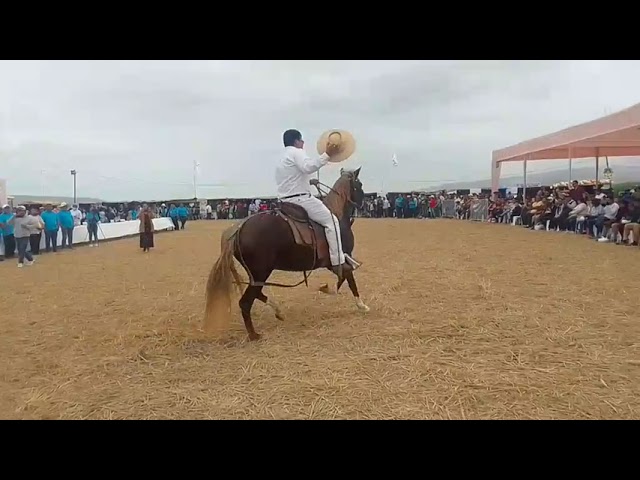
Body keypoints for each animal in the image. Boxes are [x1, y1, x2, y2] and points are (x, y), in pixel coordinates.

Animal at [202, 167, 368, 340]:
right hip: (261, 272)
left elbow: (346, 278)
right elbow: (348, 279)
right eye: (360, 185)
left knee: (257, 294)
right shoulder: (338, 259)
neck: (337, 215)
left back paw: (278, 312)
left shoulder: (334, 261)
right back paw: (254, 334)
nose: (362, 205)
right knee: (245, 302)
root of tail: (238, 228)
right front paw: (360, 304)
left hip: (256, 275)